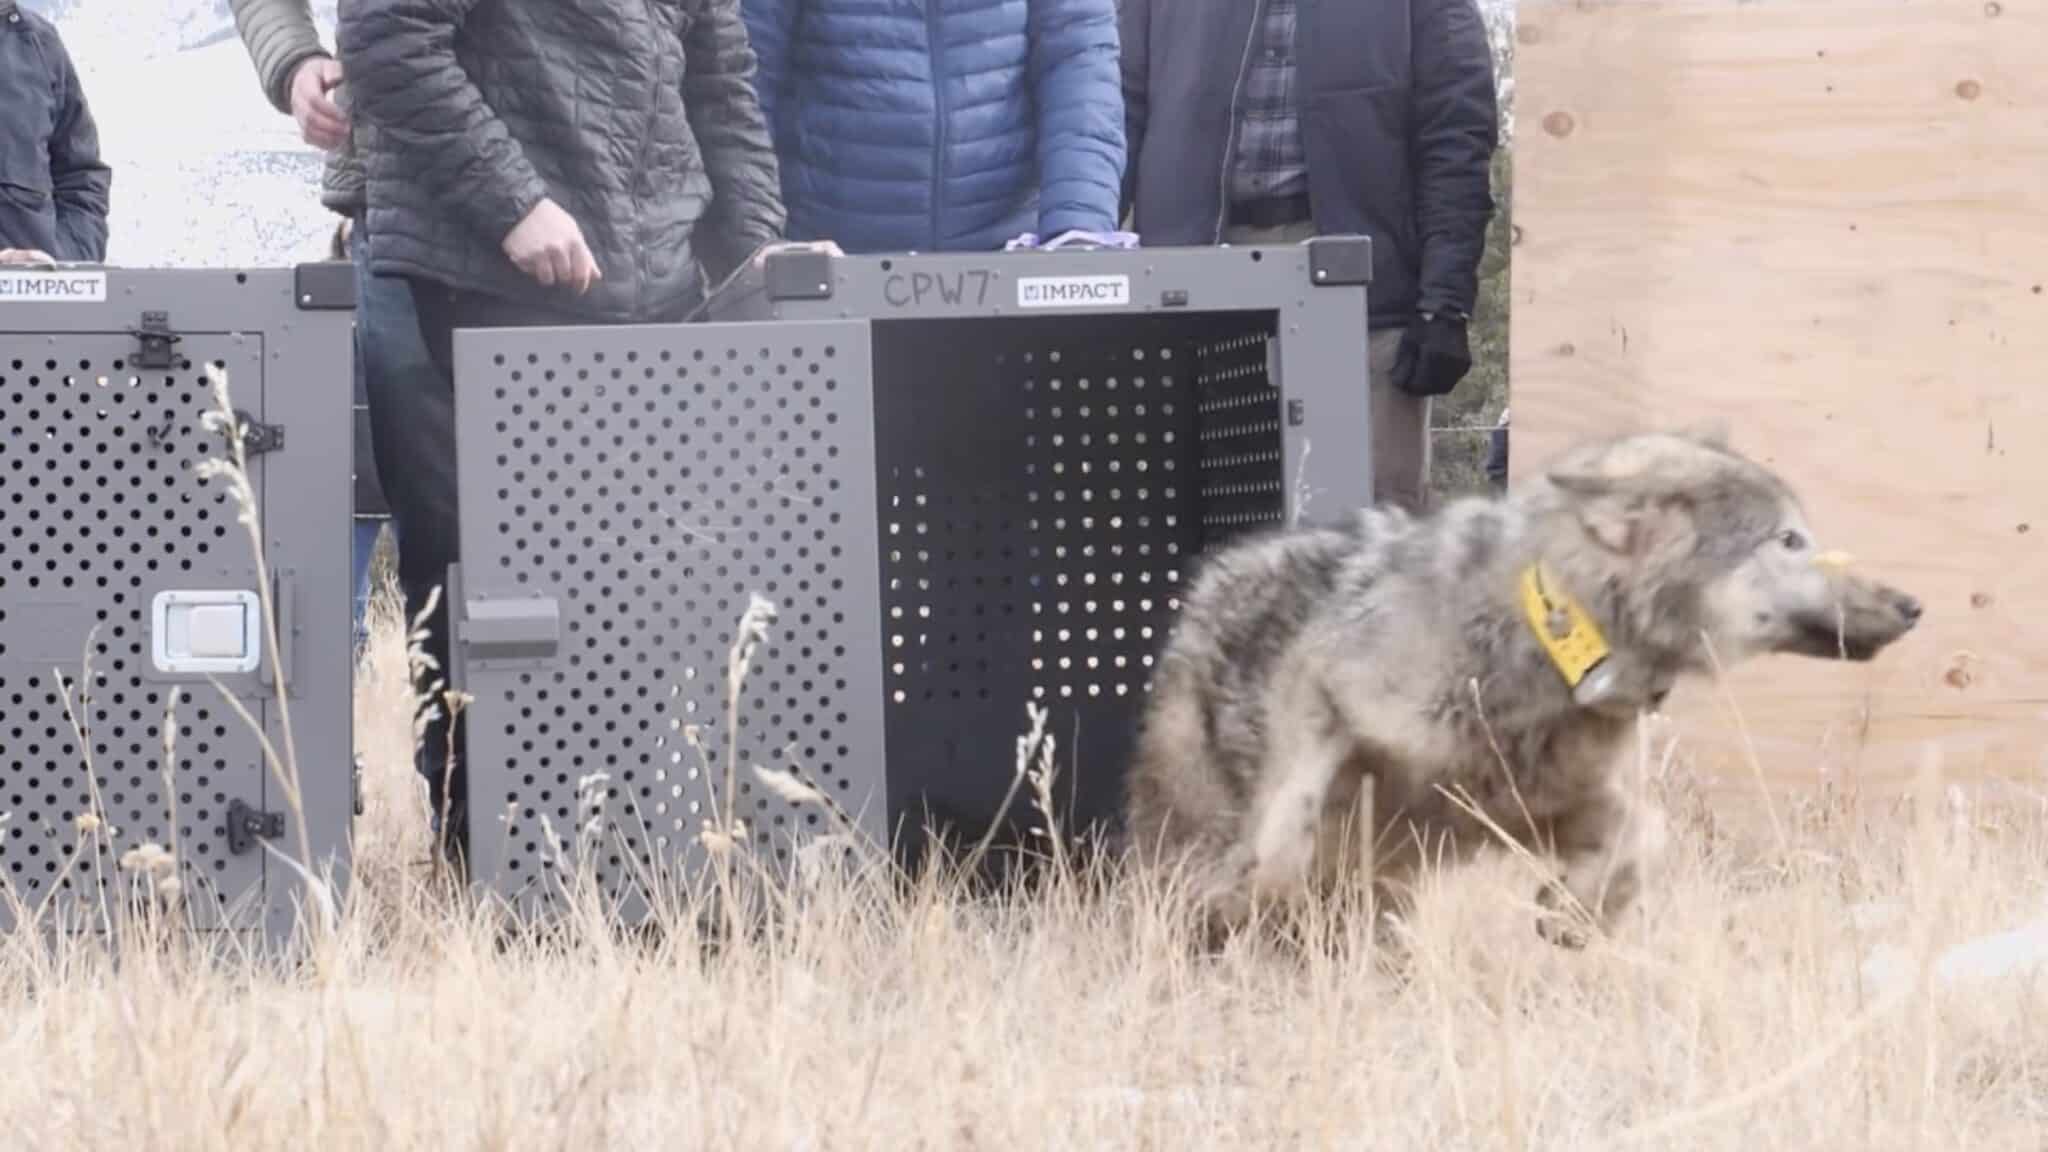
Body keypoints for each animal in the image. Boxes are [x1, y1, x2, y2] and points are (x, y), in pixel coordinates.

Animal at [1123, 428, 1922, 946]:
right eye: (1789, 541)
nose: (1912, 605)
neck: (1551, 646)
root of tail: (1206, 584)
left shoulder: (1541, 807)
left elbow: (1648, 834)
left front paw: (1574, 912)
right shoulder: (1325, 692)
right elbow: (1283, 833)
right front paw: (1256, 891)